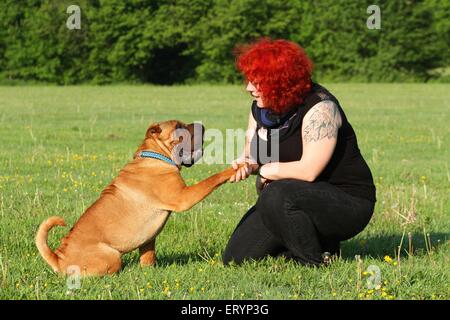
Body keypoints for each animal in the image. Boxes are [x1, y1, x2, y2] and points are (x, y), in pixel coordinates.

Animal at [36, 120, 239, 276]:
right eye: (178, 126)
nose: (201, 124)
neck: (156, 156)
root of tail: (59, 258)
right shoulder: (184, 197)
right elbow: (211, 179)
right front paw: (234, 169)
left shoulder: (148, 239)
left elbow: (148, 256)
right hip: (112, 255)